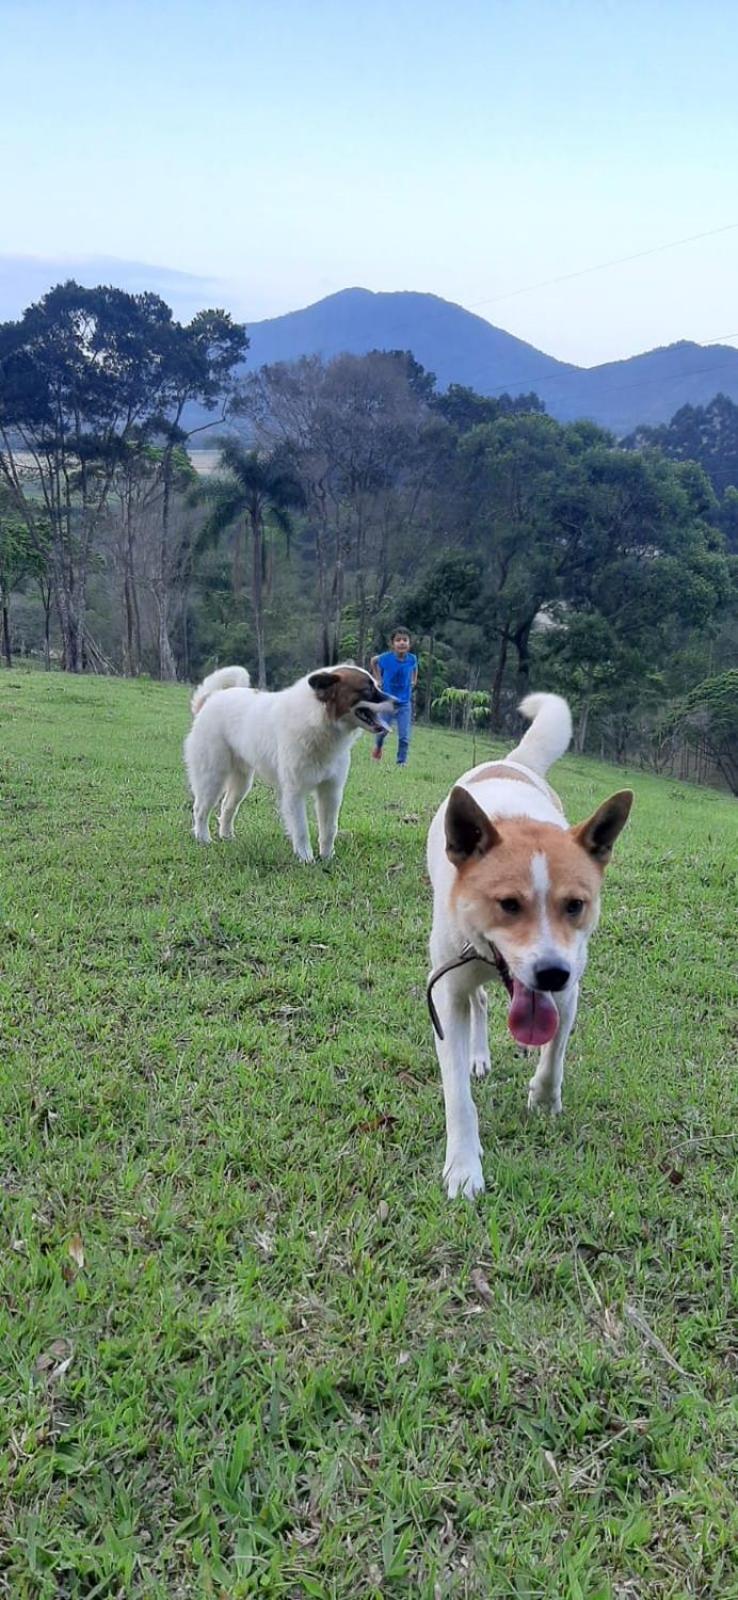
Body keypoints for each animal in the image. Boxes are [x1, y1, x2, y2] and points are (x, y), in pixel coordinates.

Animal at [182, 662, 397, 864]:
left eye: (377, 686)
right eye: (367, 690)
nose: (399, 702)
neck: (320, 721)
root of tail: (211, 699)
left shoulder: (331, 791)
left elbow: (329, 829)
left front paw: (327, 857)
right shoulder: (295, 792)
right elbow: (301, 829)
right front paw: (306, 858)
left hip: (242, 782)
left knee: (227, 806)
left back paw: (227, 837)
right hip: (212, 777)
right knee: (200, 809)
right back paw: (203, 839)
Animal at [425, 694, 633, 1196]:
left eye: (575, 905)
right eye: (508, 904)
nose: (551, 972)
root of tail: (512, 762)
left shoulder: (570, 983)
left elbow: (555, 1048)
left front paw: (543, 1097)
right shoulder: (446, 992)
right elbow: (456, 1091)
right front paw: (464, 1164)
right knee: (480, 1001)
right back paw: (480, 1054)